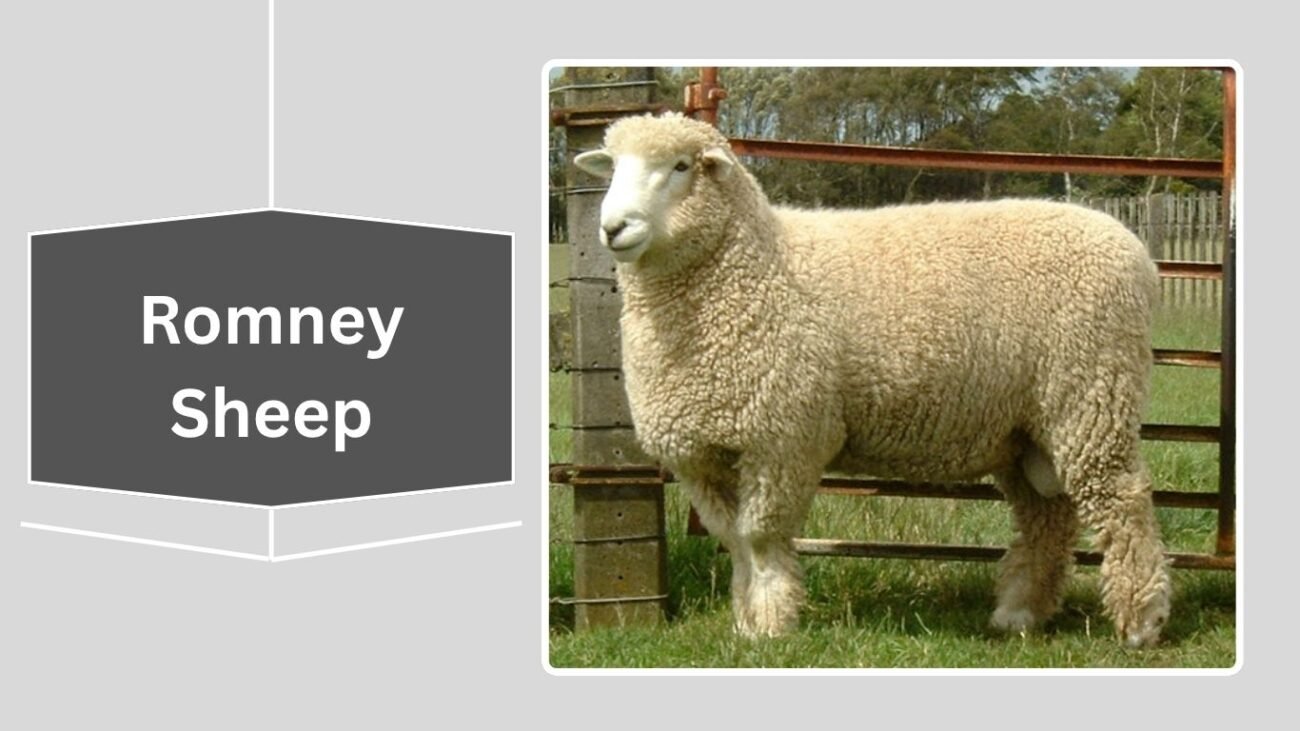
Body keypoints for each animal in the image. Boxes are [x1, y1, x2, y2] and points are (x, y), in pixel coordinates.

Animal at [574, 112, 1171, 647]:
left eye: (680, 166)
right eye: (614, 167)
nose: (613, 227)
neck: (748, 265)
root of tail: (1135, 249)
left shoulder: (782, 439)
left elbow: (760, 538)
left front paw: (770, 626)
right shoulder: (701, 453)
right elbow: (735, 541)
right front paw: (745, 622)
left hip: (1091, 395)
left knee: (1122, 502)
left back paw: (1140, 624)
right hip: (1026, 427)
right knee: (1048, 516)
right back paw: (1019, 614)